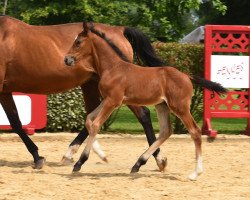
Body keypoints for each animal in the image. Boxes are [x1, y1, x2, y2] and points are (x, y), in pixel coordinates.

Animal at [65, 22, 227, 180]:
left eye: (78, 42)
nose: (66, 59)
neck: (113, 68)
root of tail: (187, 76)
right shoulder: (107, 100)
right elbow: (89, 119)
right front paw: (84, 158)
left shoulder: (112, 101)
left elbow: (95, 125)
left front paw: (80, 162)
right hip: (162, 106)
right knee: (166, 131)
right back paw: (138, 164)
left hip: (180, 107)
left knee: (195, 132)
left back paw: (195, 173)